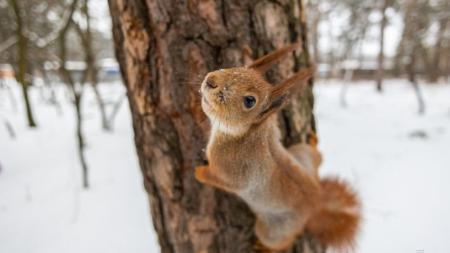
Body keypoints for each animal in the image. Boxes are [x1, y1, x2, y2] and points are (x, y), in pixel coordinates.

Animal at [195, 43, 360, 251]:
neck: (251, 132)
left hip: (274, 230)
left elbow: (221, 180)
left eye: (249, 101)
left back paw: (263, 247)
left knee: (281, 241)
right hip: (301, 153)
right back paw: (313, 142)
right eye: (238, 66)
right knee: (316, 158)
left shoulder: (232, 169)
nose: (210, 80)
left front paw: (199, 172)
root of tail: (316, 203)